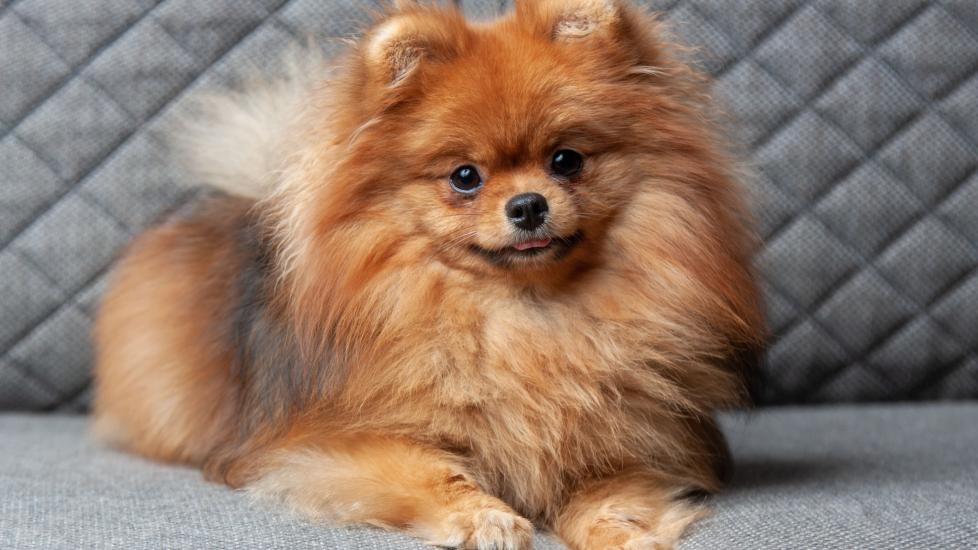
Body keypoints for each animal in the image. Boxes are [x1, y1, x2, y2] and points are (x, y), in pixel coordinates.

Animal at [93, 1, 764, 550]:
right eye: (465, 176)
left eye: (566, 160)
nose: (527, 205)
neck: (523, 318)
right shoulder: (329, 442)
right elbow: (427, 468)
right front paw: (483, 516)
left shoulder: (639, 435)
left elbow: (613, 487)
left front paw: (617, 529)